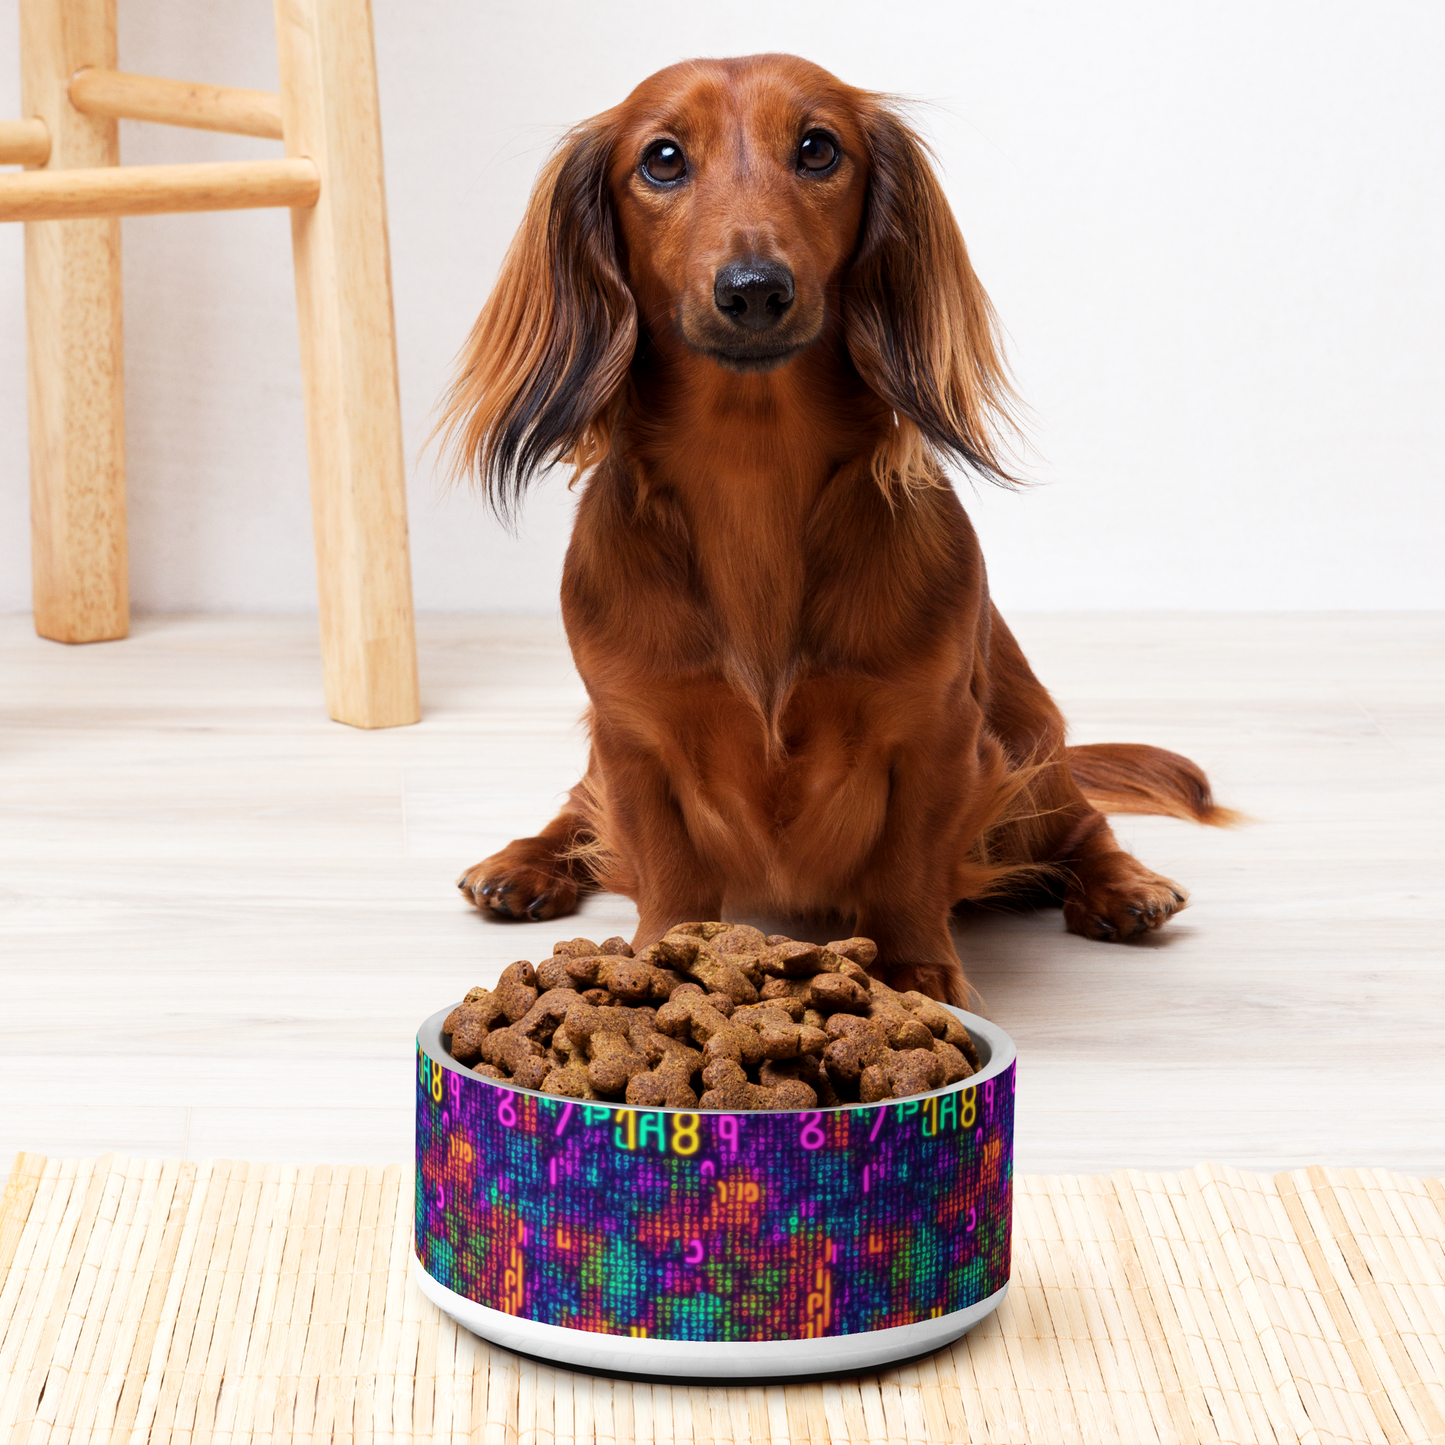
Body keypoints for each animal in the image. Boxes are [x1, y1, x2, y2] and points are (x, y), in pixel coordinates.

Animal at [436, 56, 1231, 1005]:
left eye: (818, 148)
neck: (752, 473)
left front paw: (916, 971)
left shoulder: (937, 733)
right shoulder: (632, 735)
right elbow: (664, 864)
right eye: (661, 159)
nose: (753, 290)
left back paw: (1123, 885)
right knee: (576, 810)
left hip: (1028, 744)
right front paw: (660, 958)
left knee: (1081, 823)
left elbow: (906, 866)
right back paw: (523, 863)